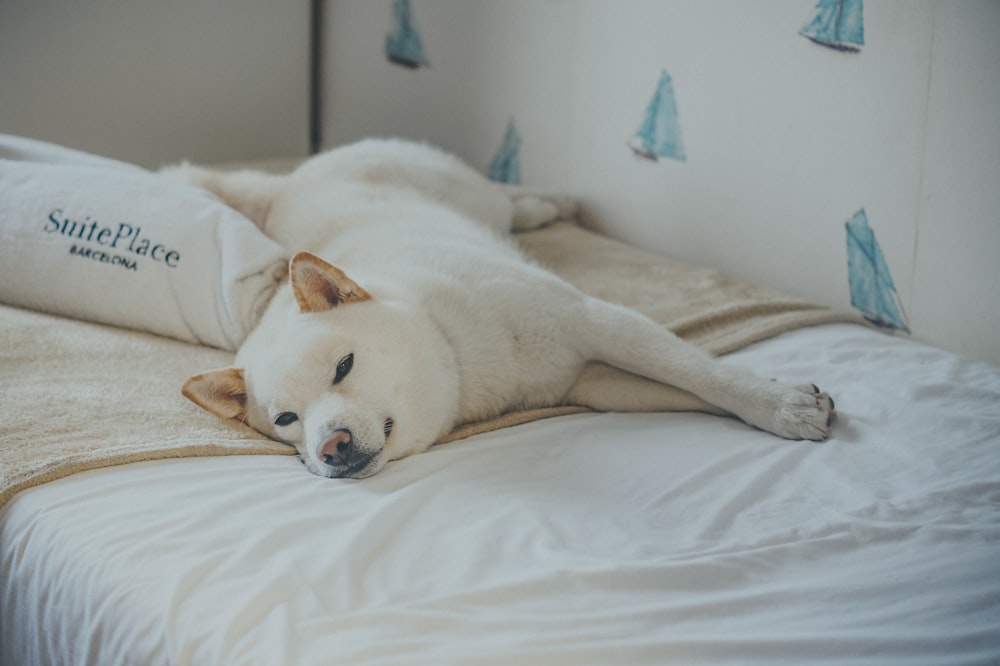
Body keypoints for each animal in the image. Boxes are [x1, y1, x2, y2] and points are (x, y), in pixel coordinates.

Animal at [174, 139, 836, 478]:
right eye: (287, 420)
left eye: (344, 367)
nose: (329, 447)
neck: (454, 346)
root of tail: (290, 181)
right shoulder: (589, 382)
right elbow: (689, 394)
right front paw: (775, 401)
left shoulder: (599, 323)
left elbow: (703, 373)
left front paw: (783, 407)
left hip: (466, 192)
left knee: (501, 195)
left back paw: (549, 203)